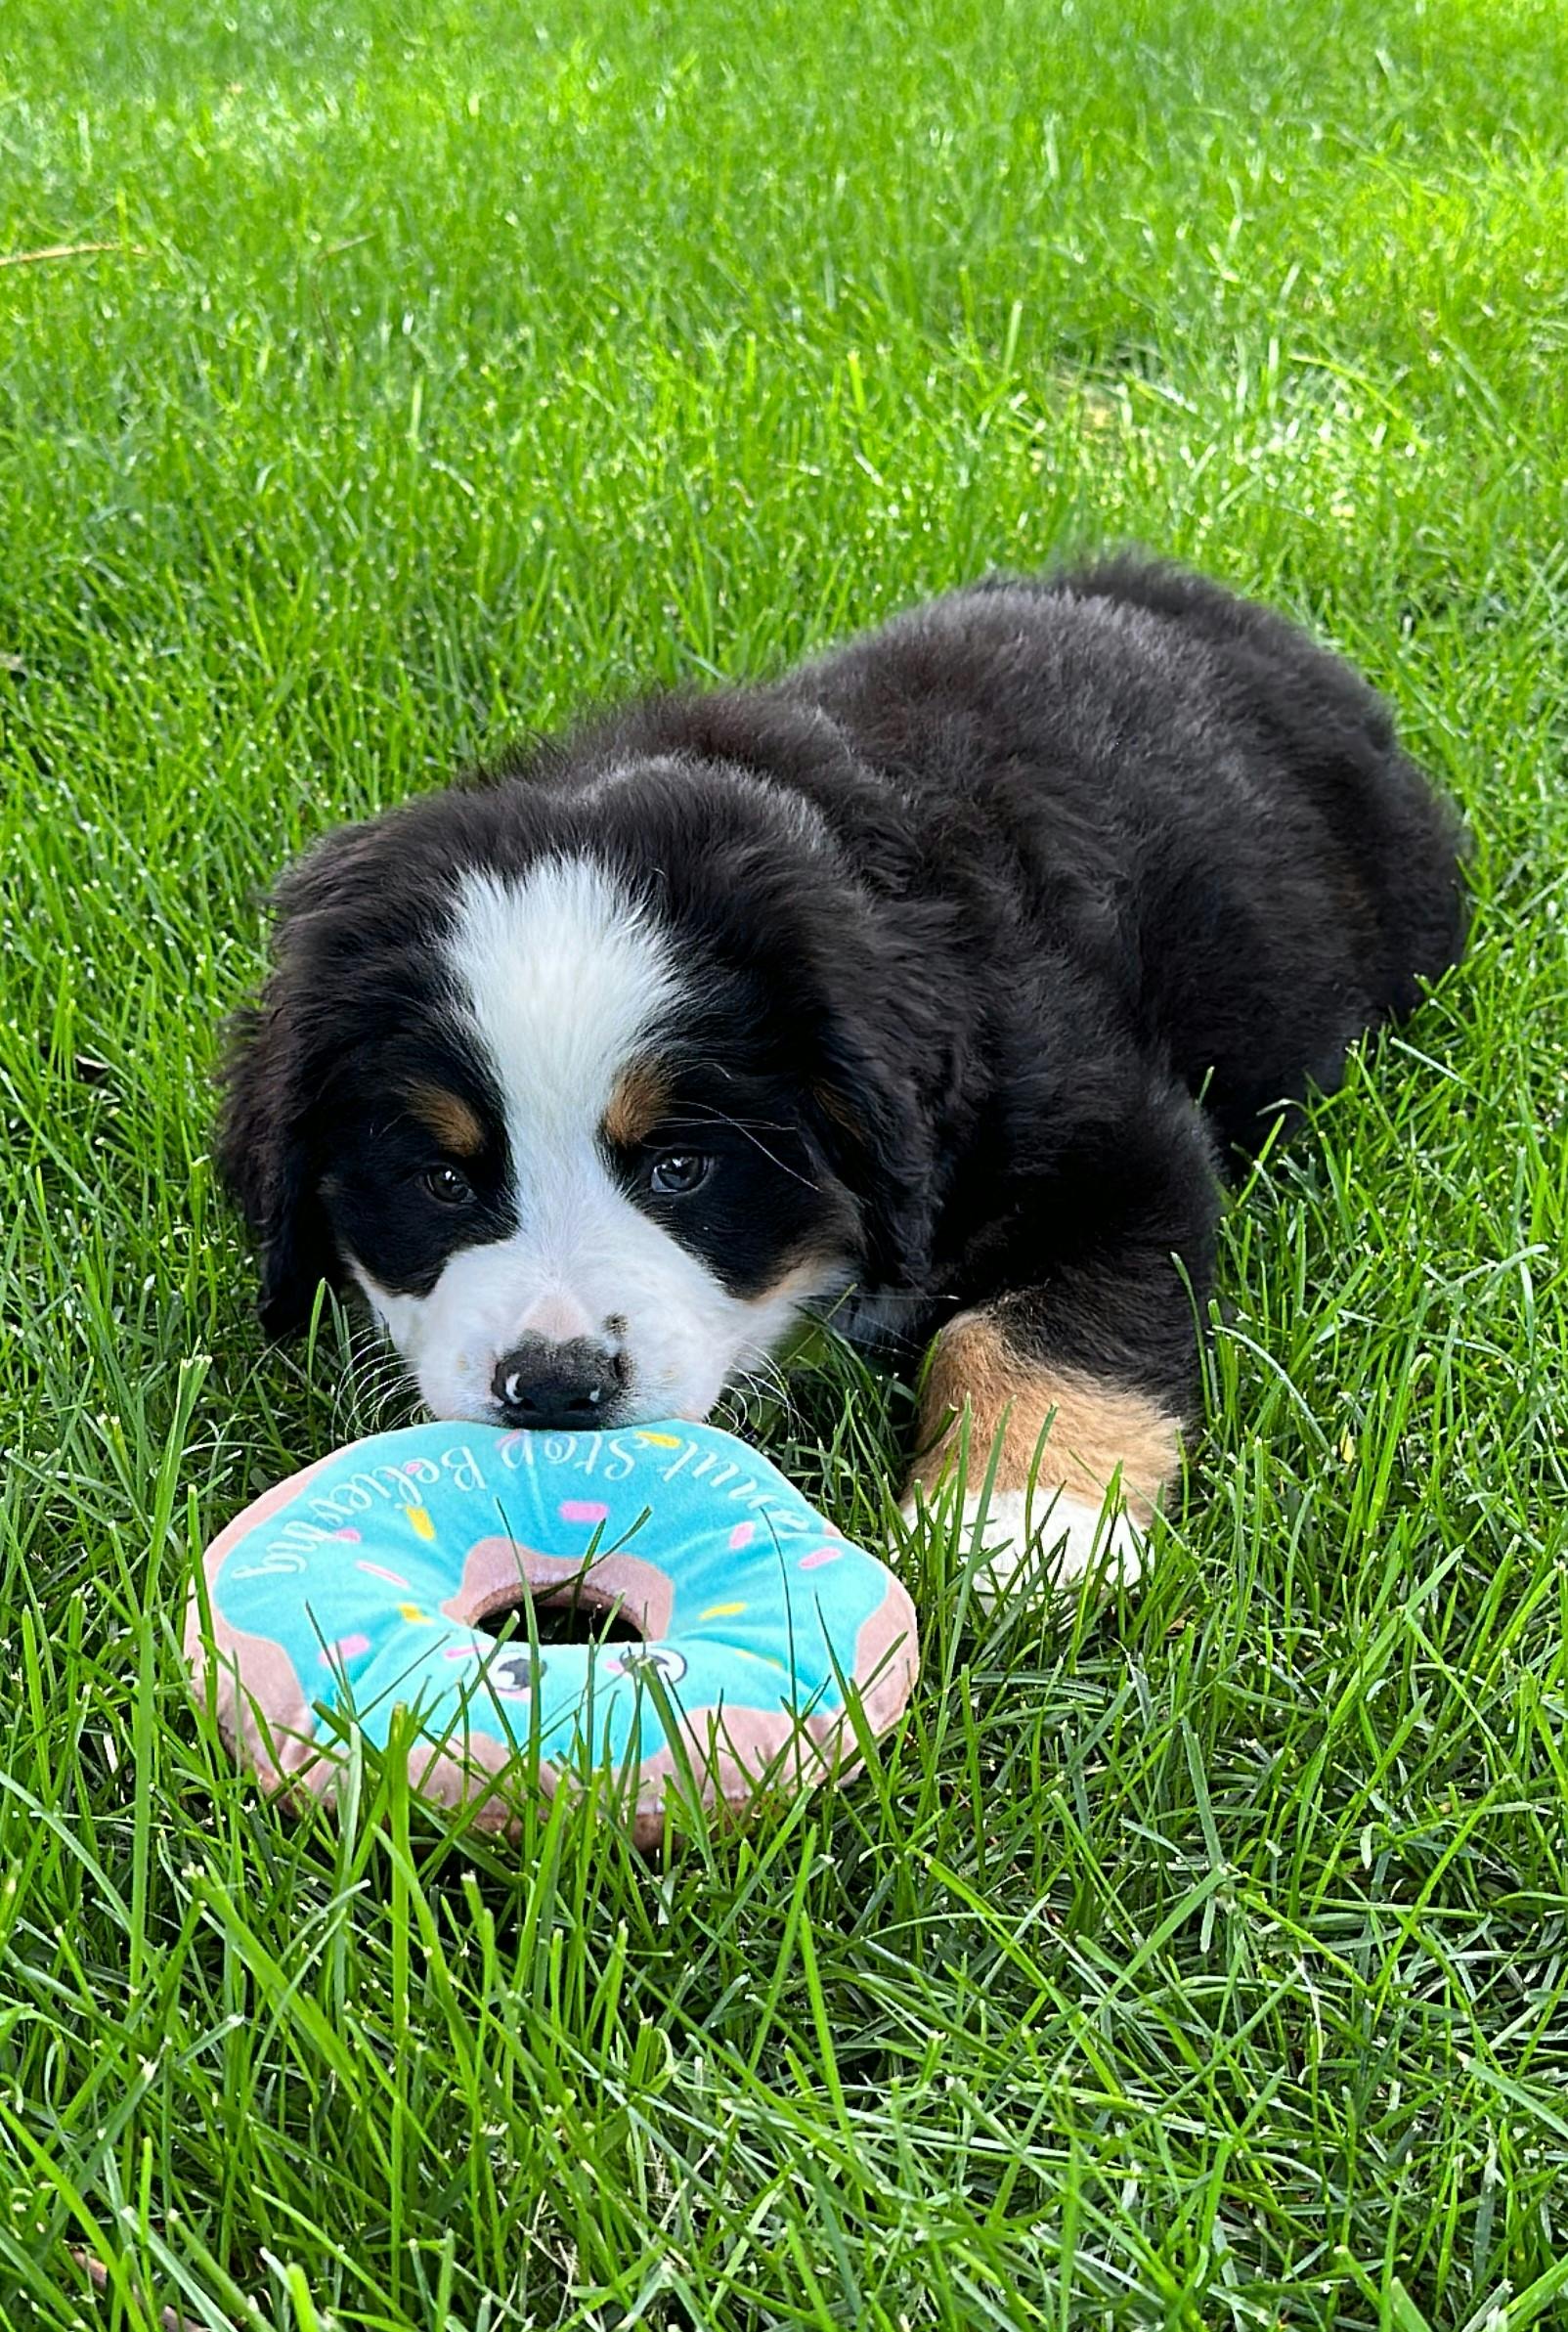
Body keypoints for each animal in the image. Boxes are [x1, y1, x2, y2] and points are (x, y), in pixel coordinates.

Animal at [220, 554, 1472, 1595]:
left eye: (680, 1169)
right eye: (439, 1182)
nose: (557, 1390)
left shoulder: (1111, 1141)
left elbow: (1043, 1321)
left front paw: (1019, 1526)